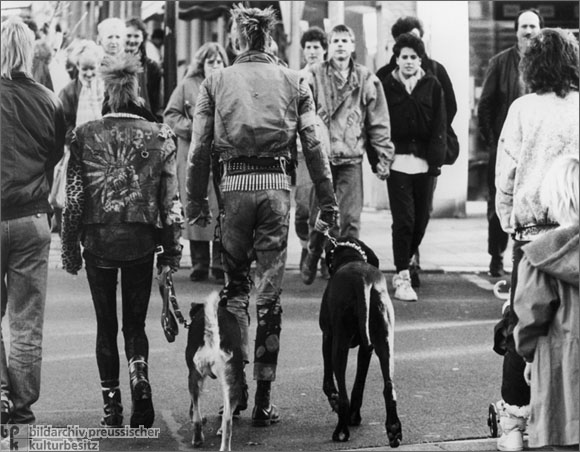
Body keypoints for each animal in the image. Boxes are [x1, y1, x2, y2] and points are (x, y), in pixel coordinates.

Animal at [320, 238, 402, 446]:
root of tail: (363, 281)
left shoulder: (327, 337)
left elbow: (328, 381)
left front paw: (334, 398)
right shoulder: (367, 350)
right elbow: (359, 384)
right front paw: (355, 416)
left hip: (339, 346)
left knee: (343, 394)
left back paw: (341, 430)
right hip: (385, 343)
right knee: (389, 388)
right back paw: (393, 429)